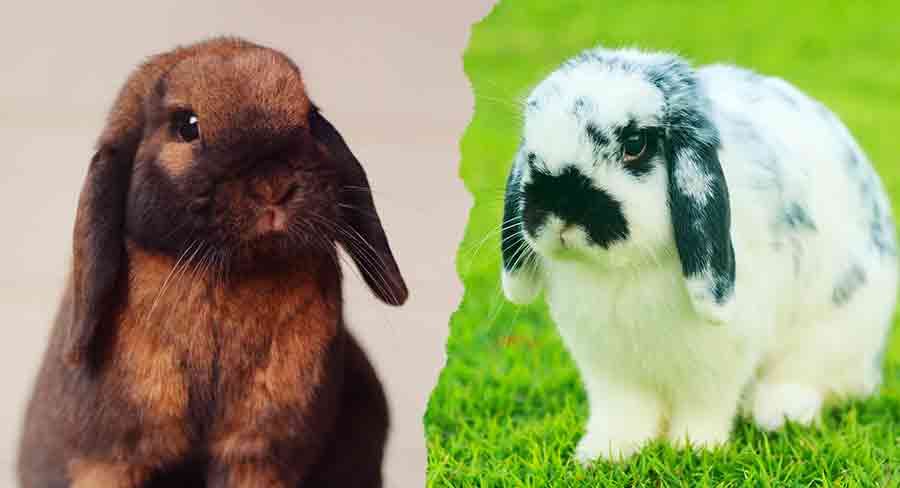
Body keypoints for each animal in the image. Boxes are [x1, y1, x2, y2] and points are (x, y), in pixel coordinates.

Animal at [17, 36, 408, 486]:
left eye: (310, 119)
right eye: (187, 125)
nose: (273, 185)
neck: (230, 276)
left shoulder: (256, 451)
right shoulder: (108, 458)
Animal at [502, 47, 896, 464]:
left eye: (635, 144)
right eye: (531, 150)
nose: (559, 210)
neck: (624, 270)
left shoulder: (716, 362)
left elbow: (704, 406)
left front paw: (693, 449)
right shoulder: (610, 370)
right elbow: (624, 412)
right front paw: (605, 452)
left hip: (832, 335)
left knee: (807, 378)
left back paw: (779, 413)